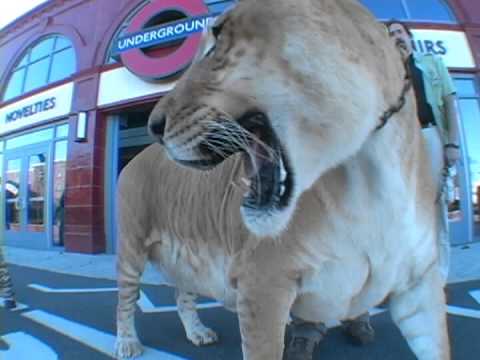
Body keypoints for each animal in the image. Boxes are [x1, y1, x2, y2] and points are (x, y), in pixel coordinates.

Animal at [115, 0, 450, 360]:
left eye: (216, 43)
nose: (153, 126)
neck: (373, 174)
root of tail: (134, 157)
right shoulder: (261, 282)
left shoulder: (419, 285)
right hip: (131, 245)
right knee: (125, 299)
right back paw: (127, 344)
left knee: (183, 295)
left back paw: (197, 333)